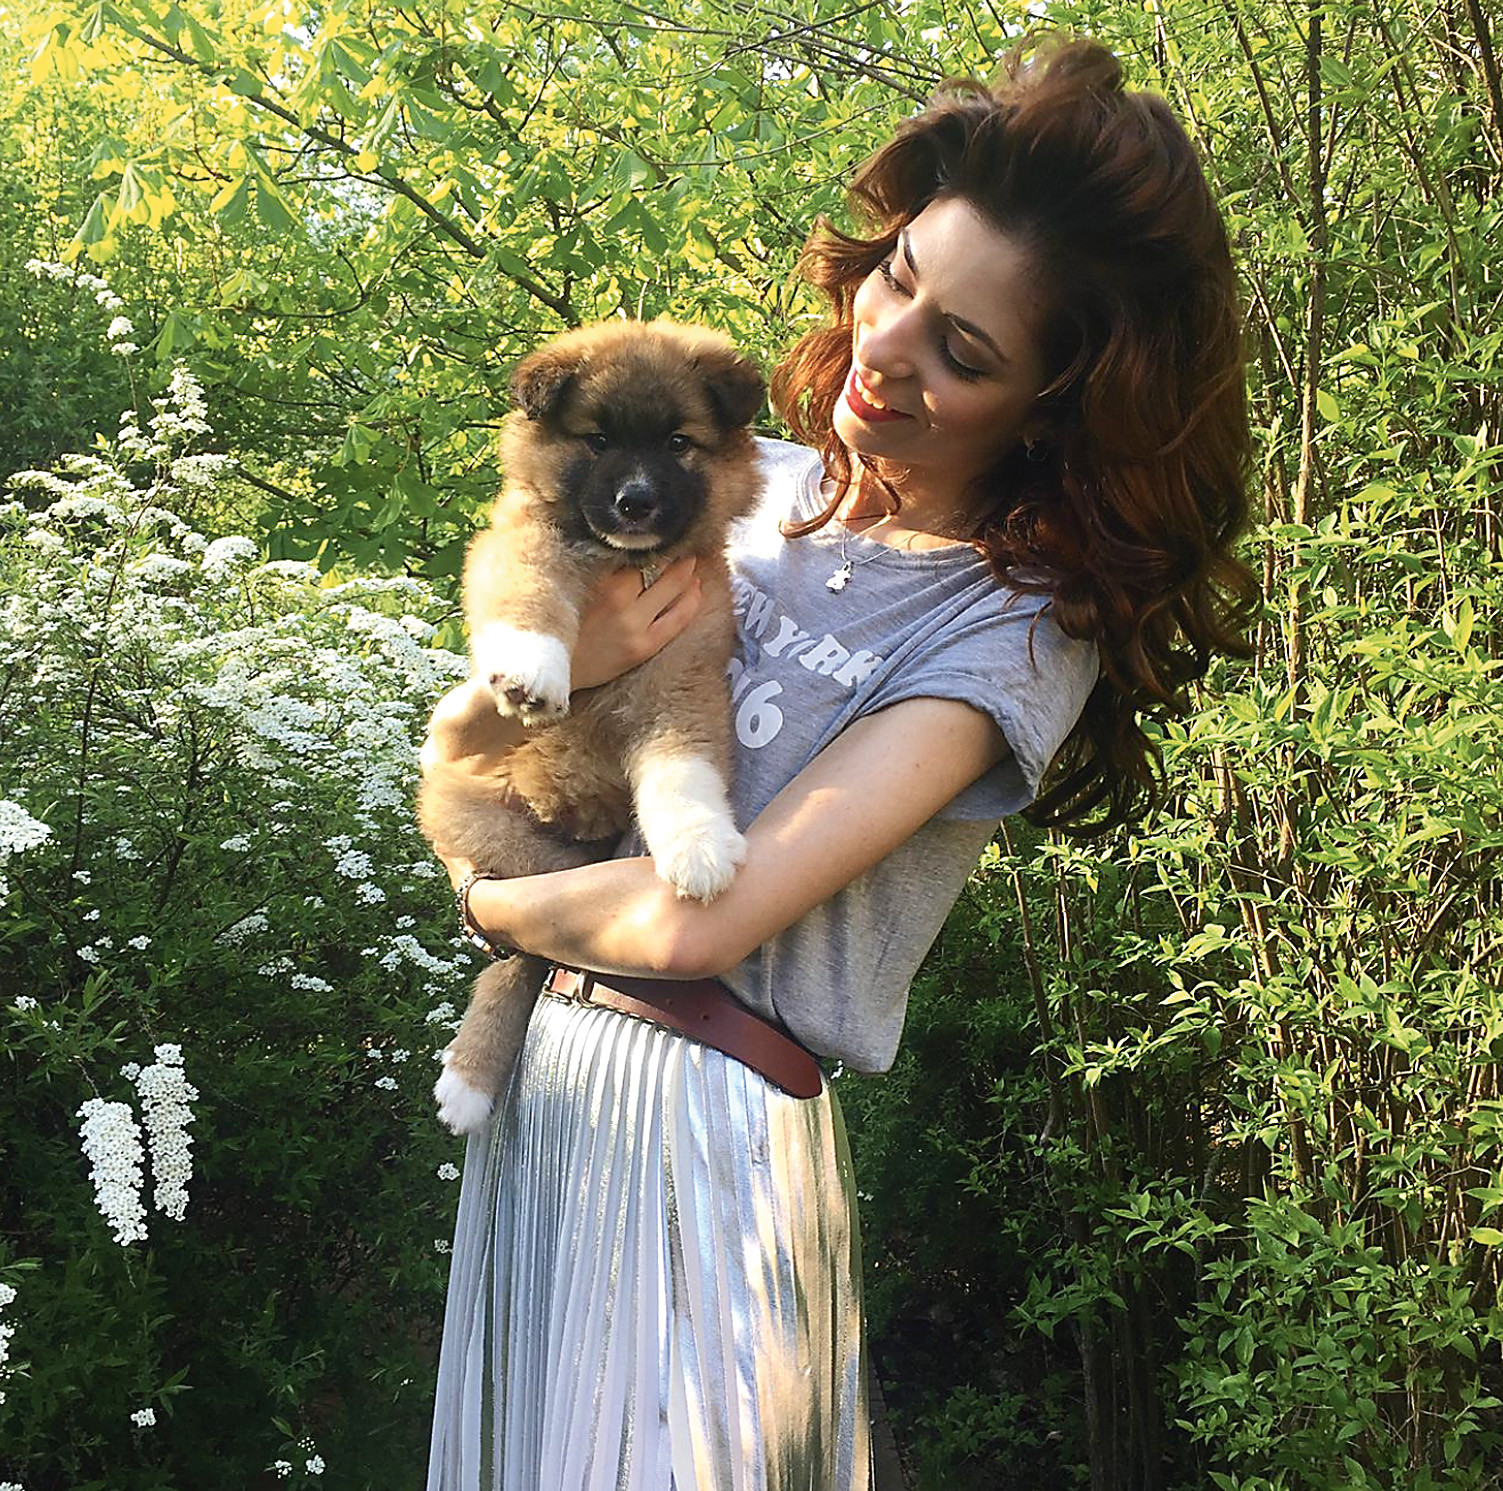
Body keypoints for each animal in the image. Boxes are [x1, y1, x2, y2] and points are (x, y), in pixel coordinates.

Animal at [417, 319, 765, 1134]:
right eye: (598, 439)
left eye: (678, 442)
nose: (635, 502)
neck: (626, 563)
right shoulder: (519, 542)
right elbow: (530, 591)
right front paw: (531, 668)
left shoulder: (685, 681)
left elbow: (683, 775)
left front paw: (699, 847)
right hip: (505, 843)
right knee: (520, 950)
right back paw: (468, 1078)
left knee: (529, 954)